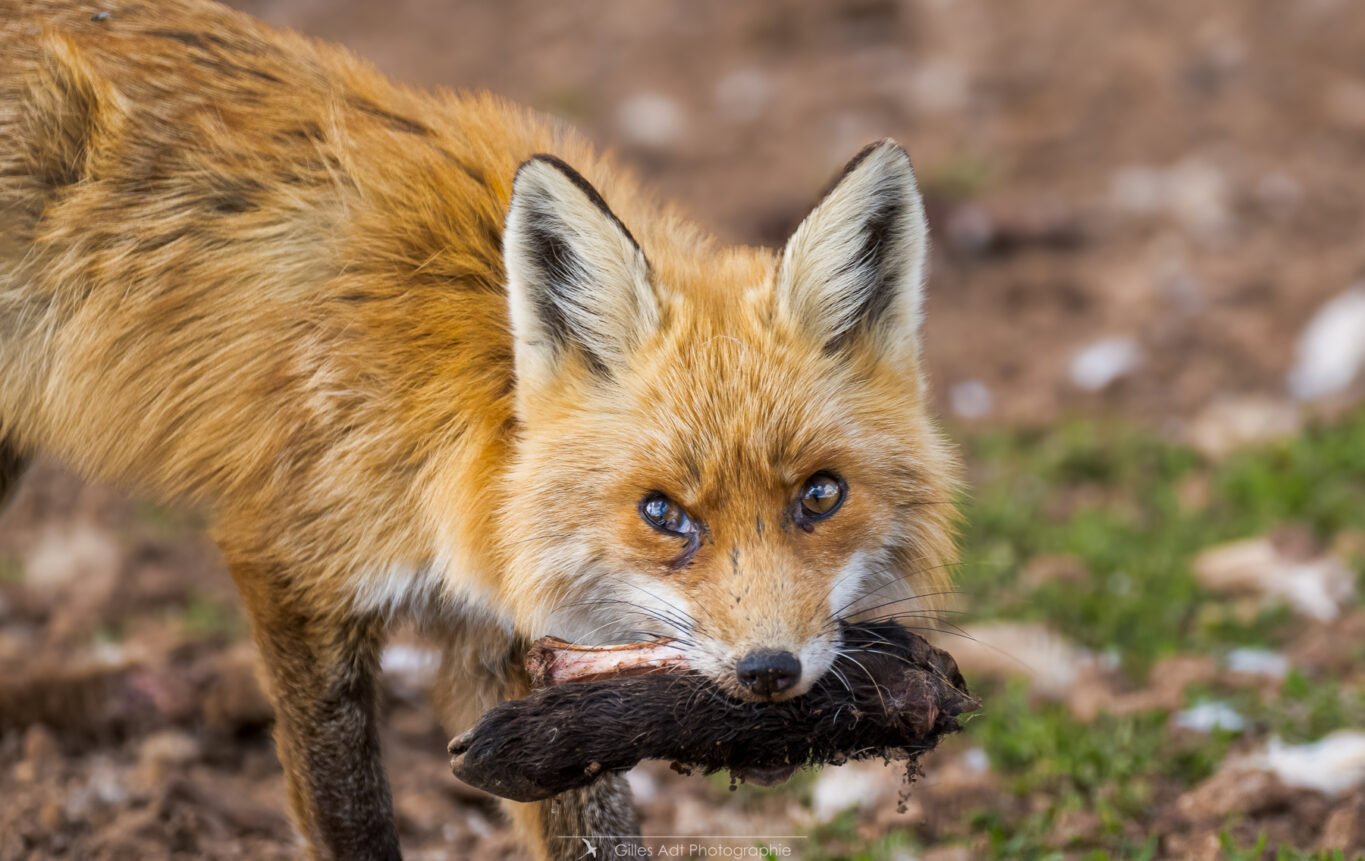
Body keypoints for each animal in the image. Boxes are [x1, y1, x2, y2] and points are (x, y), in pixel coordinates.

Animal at [0, 1, 960, 861]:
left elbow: (591, 824)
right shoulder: (290, 563)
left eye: (820, 495)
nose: (769, 671)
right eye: (661, 513)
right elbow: (350, 813)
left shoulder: (496, 641)